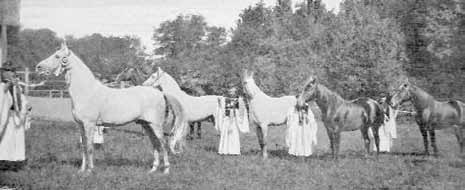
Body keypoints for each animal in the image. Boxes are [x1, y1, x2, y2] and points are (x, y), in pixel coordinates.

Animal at [35, 42, 187, 174]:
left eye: (57, 56)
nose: (38, 67)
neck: (87, 91)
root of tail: (160, 93)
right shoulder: (80, 126)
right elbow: (83, 147)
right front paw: (81, 170)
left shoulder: (89, 124)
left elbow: (89, 147)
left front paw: (90, 171)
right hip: (147, 125)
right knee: (155, 144)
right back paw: (153, 169)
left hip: (155, 125)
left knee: (163, 144)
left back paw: (166, 170)